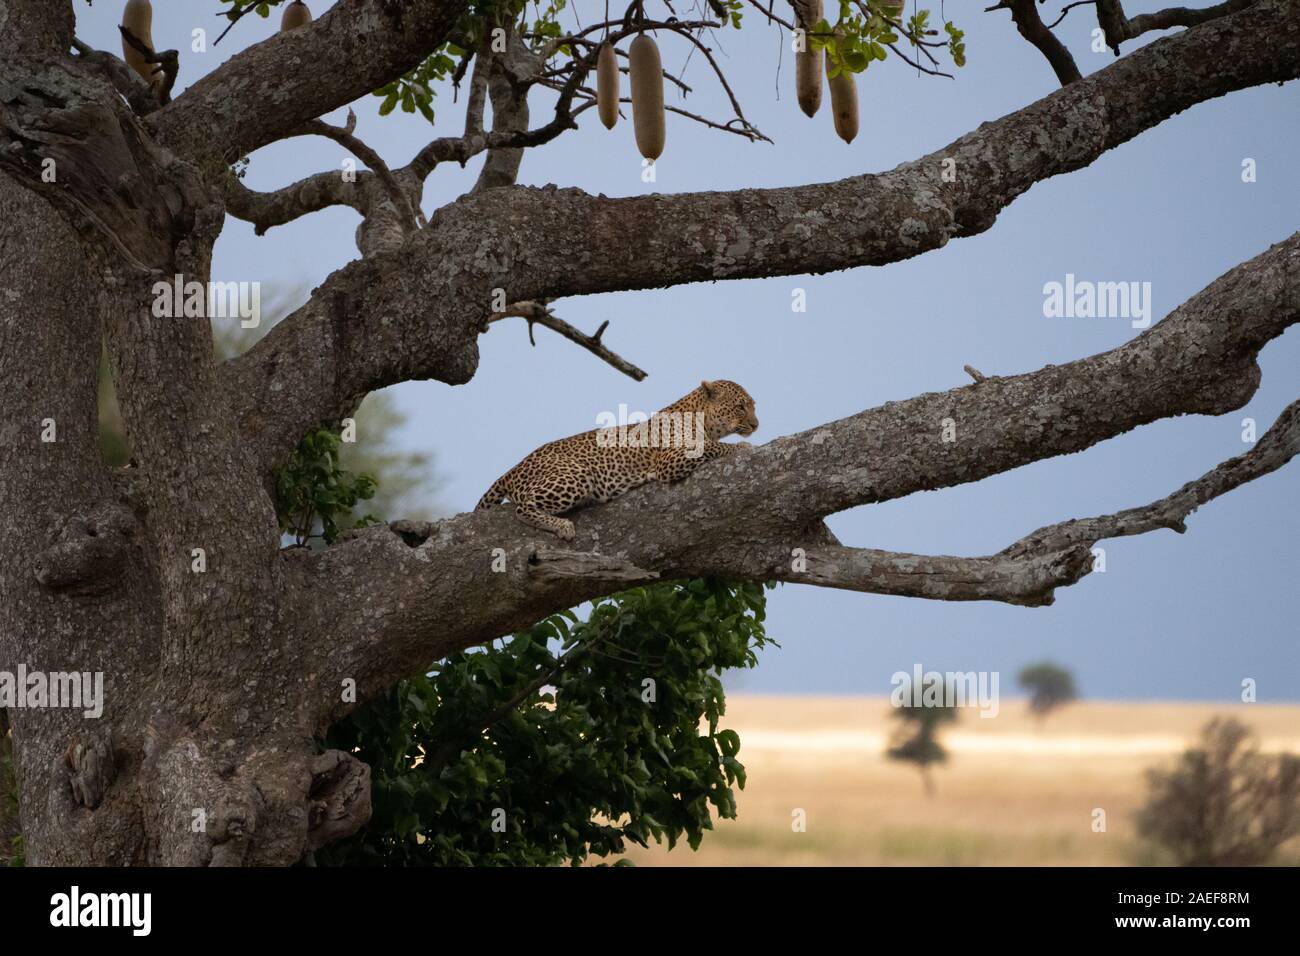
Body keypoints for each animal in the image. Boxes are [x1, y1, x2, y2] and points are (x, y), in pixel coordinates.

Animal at [475, 380, 759, 540]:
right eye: (740, 406)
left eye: (752, 405)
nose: (757, 424)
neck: (703, 418)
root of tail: (512, 470)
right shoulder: (669, 459)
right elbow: (710, 446)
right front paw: (742, 448)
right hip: (575, 475)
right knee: (523, 508)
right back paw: (562, 526)